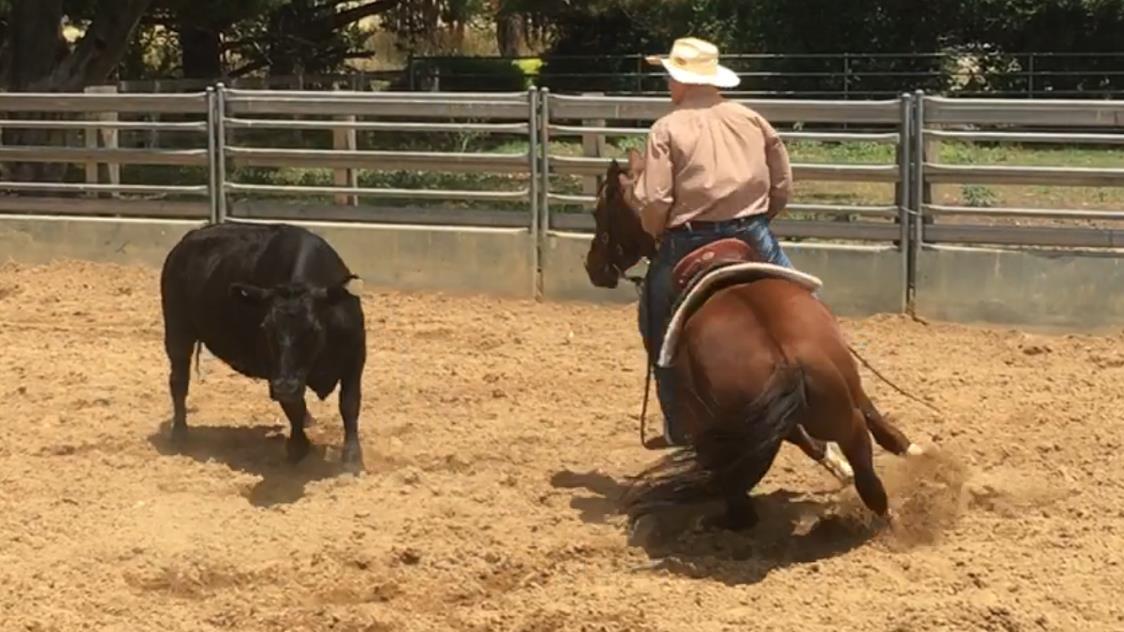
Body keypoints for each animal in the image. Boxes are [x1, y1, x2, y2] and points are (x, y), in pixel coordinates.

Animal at [159, 221, 367, 471]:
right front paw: (297, 447)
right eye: (266, 328)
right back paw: (179, 433)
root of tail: (188, 239)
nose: (285, 386)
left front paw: (352, 458)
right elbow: (294, 407)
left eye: (313, 329)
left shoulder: (355, 356)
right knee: (179, 381)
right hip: (177, 331)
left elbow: (349, 404)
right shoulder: (274, 370)